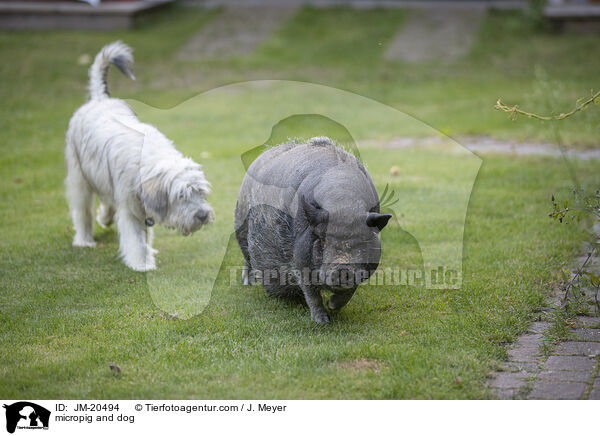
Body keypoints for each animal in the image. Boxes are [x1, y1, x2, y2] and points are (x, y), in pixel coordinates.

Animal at [65, 42, 213, 270]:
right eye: (181, 195)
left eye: (200, 192)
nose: (203, 215)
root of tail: (99, 99)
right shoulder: (130, 210)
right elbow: (136, 240)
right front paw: (142, 263)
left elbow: (145, 235)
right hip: (79, 178)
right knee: (82, 211)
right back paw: (84, 240)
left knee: (106, 202)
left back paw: (105, 218)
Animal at [232, 136, 392, 324]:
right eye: (322, 240)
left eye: (361, 241)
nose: (342, 269)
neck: (342, 205)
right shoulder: (299, 260)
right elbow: (311, 294)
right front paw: (323, 321)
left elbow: (349, 291)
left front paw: (332, 306)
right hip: (240, 221)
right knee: (246, 256)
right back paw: (248, 283)